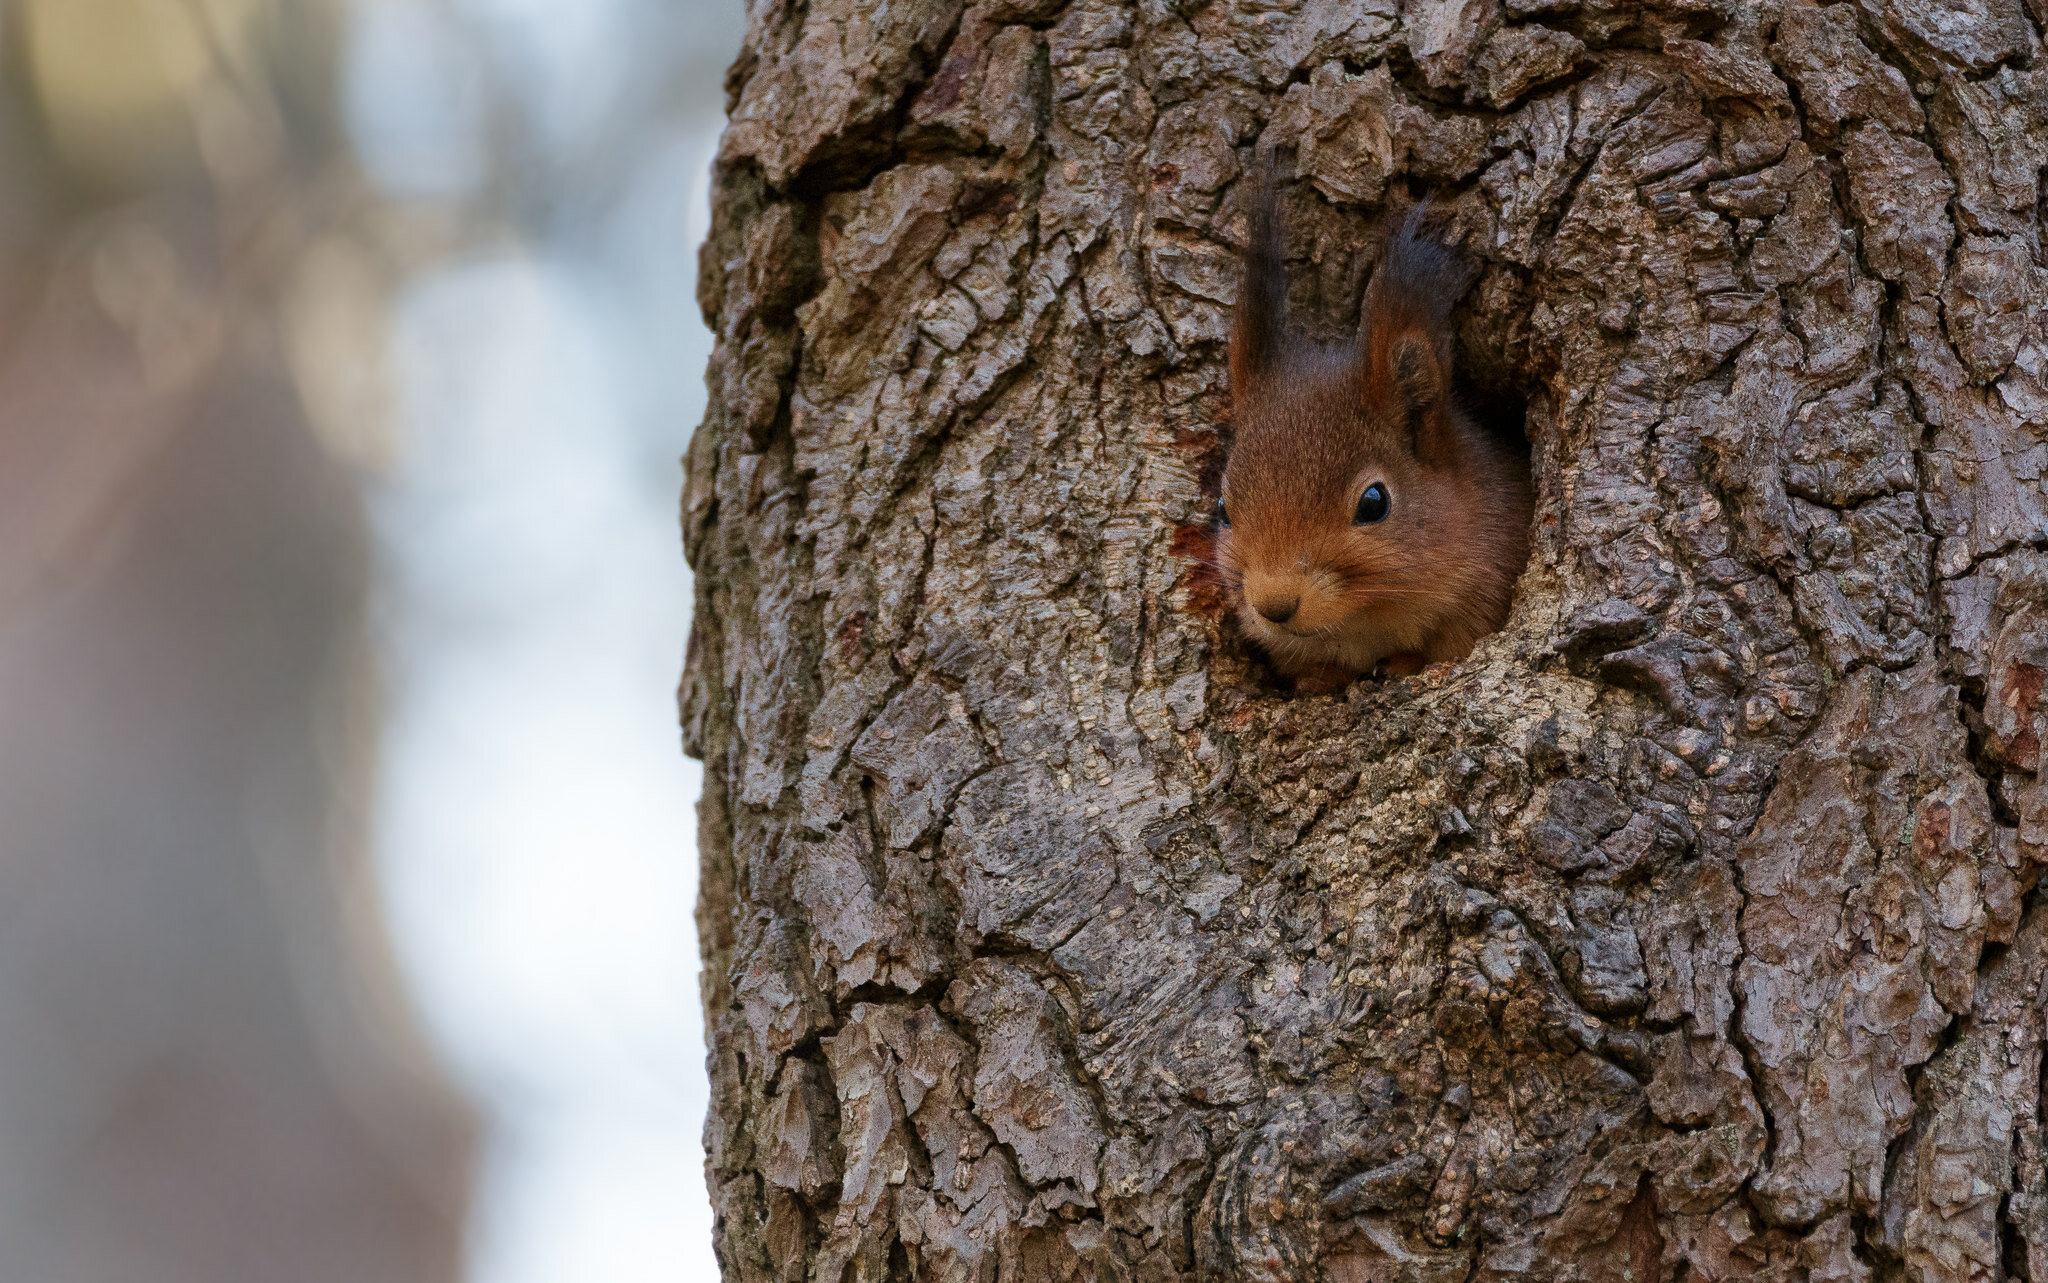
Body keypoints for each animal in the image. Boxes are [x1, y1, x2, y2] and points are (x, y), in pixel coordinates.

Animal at [1204, 180, 1531, 688]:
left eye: (1374, 502)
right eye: (1222, 508)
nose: (1273, 605)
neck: (1363, 627)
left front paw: (1405, 663)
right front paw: (1318, 676)